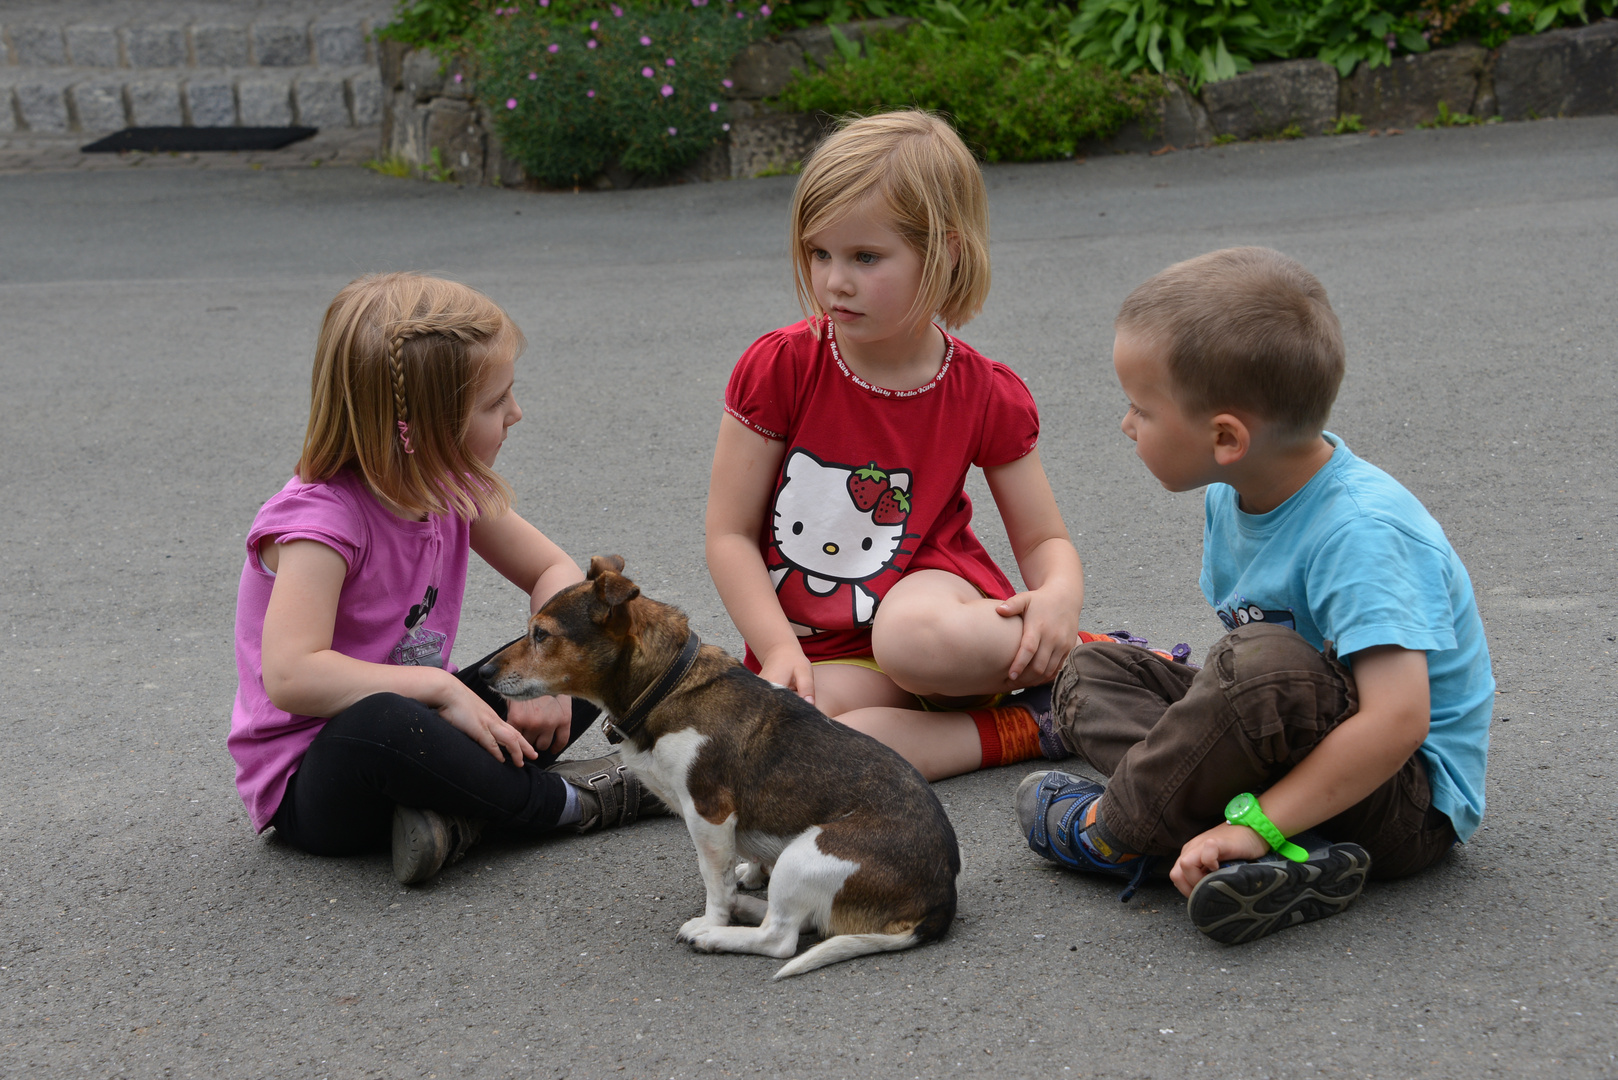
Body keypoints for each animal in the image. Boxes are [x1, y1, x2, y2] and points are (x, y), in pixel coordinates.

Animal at [478, 557, 957, 977]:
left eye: (541, 635)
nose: (482, 673)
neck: (666, 685)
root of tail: (939, 903)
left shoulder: (708, 815)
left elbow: (714, 882)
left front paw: (714, 918)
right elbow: (736, 871)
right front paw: (747, 879)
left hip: (809, 852)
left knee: (780, 938)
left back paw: (716, 935)